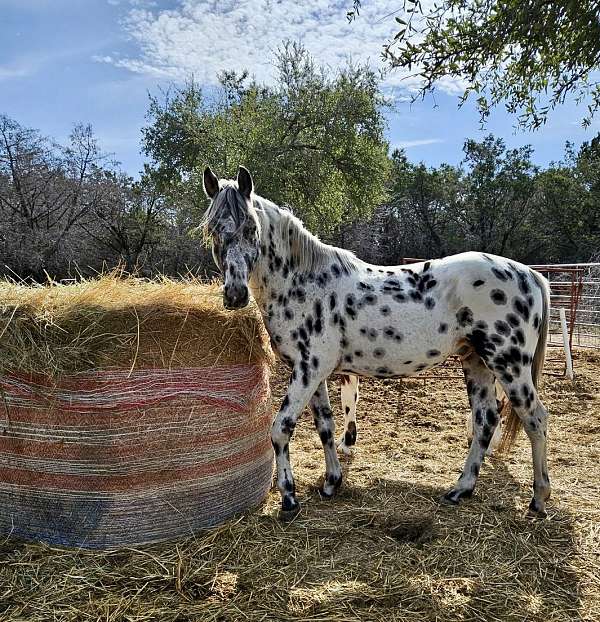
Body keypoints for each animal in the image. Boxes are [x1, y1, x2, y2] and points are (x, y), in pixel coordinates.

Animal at [203, 166, 552, 520]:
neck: (304, 283)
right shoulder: (315, 374)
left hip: (508, 364)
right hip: (476, 361)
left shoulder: (308, 371)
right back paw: (460, 490)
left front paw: (289, 498)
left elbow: (280, 428)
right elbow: (326, 425)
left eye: (251, 228)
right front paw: (331, 482)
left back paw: (538, 499)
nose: (235, 294)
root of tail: (529, 274)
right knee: (485, 420)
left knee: (535, 419)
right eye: (213, 229)